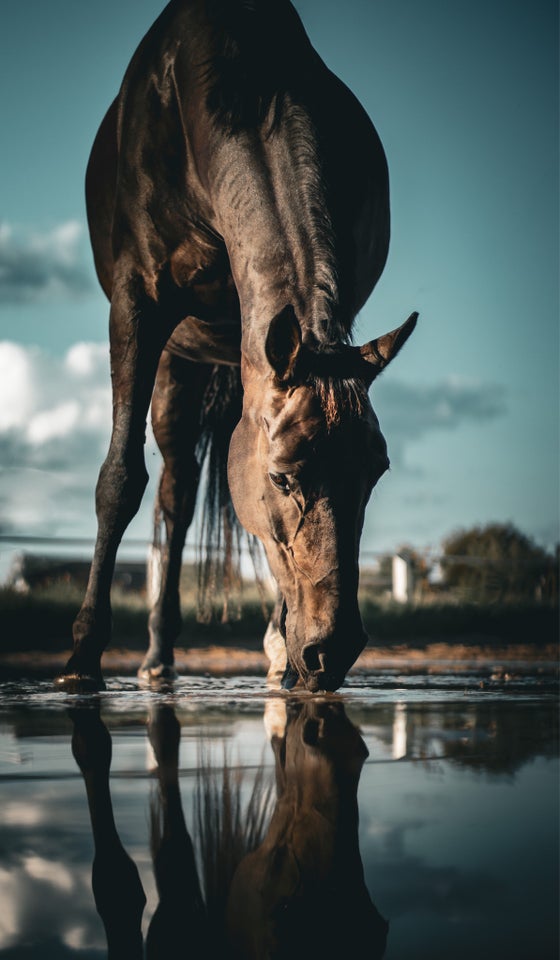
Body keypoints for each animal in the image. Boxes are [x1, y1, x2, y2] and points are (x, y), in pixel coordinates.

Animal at [57, 0, 418, 692]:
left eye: (376, 472)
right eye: (281, 478)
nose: (335, 651)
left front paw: (284, 648)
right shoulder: (137, 304)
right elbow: (119, 479)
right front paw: (83, 657)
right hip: (178, 363)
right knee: (173, 492)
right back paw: (156, 657)